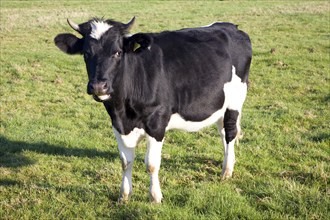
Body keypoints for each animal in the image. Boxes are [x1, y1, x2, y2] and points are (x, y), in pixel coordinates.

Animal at [54, 16, 251, 203]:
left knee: (230, 132)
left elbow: (151, 164)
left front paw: (155, 197)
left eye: (117, 52)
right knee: (223, 131)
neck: (123, 111)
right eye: (86, 53)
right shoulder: (117, 125)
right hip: (220, 103)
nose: (98, 86)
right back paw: (228, 161)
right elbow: (125, 162)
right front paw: (124, 196)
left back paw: (227, 171)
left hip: (236, 100)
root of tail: (230, 27)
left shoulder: (157, 123)